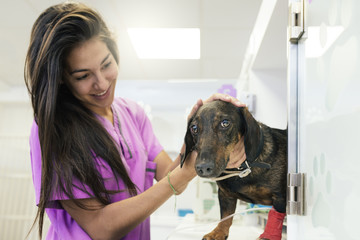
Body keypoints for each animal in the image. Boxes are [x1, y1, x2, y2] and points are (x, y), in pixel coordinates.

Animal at [181, 100, 288, 239]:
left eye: (225, 123)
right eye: (194, 128)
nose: (203, 168)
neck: (241, 169)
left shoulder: (280, 198)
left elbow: (276, 217)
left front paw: (268, 236)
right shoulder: (225, 195)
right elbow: (226, 217)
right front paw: (218, 232)